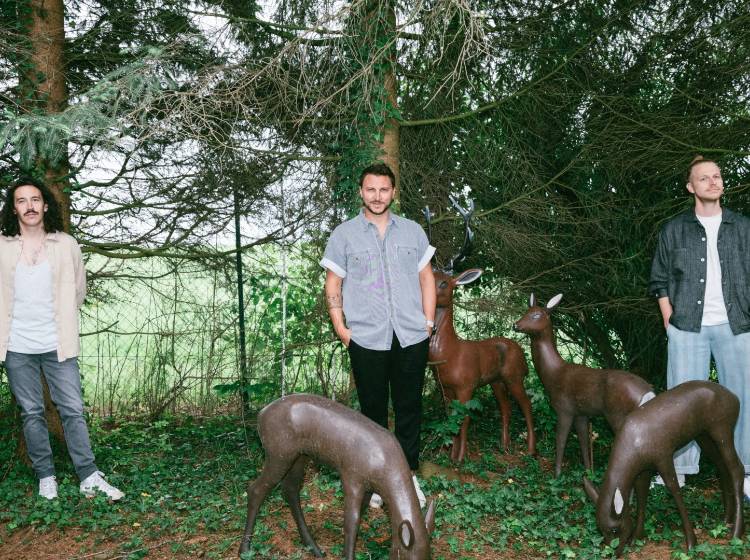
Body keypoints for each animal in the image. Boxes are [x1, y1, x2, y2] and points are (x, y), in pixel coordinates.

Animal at [426, 199, 536, 462]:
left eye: (444, 282)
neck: (449, 354)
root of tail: (521, 350)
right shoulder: (445, 388)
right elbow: (449, 419)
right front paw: (449, 453)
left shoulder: (466, 385)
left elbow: (464, 420)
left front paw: (459, 458)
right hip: (496, 381)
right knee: (506, 408)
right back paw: (504, 446)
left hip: (515, 375)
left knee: (526, 405)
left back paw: (530, 450)